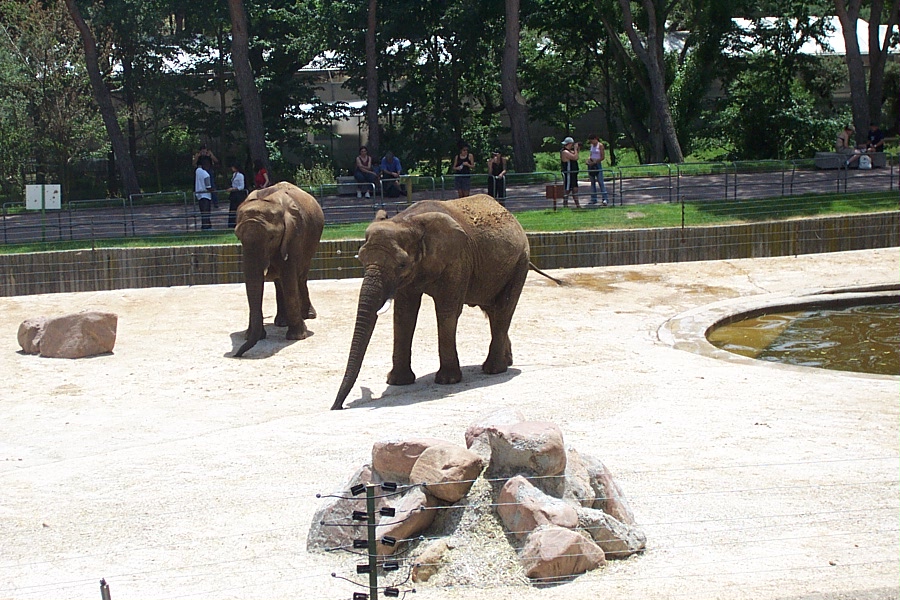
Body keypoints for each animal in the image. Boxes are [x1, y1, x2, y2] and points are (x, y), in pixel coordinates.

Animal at [233, 181, 324, 357]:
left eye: (271, 238)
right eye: (238, 237)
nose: (236, 355)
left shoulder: (294, 235)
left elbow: (289, 278)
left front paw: (297, 337)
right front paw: (252, 336)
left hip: (311, 244)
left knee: (300, 277)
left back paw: (308, 316)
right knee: (278, 282)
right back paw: (281, 322)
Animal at [332, 194, 530, 410]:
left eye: (402, 265)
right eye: (361, 260)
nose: (337, 407)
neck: (408, 221)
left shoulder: (457, 259)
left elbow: (447, 310)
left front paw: (447, 381)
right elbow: (404, 313)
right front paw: (398, 382)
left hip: (521, 262)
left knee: (504, 309)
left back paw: (493, 369)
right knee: (493, 312)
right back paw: (506, 362)